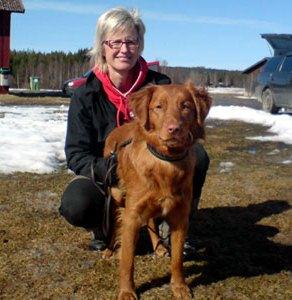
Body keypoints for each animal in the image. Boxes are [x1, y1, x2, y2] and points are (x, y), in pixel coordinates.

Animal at [104, 82, 211, 300]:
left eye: (185, 106)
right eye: (159, 107)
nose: (174, 129)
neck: (166, 161)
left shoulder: (180, 217)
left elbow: (177, 259)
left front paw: (179, 287)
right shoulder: (131, 217)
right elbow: (127, 260)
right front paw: (127, 291)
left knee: (152, 220)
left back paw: (159, 247)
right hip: (114, 195)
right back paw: (108, 251)